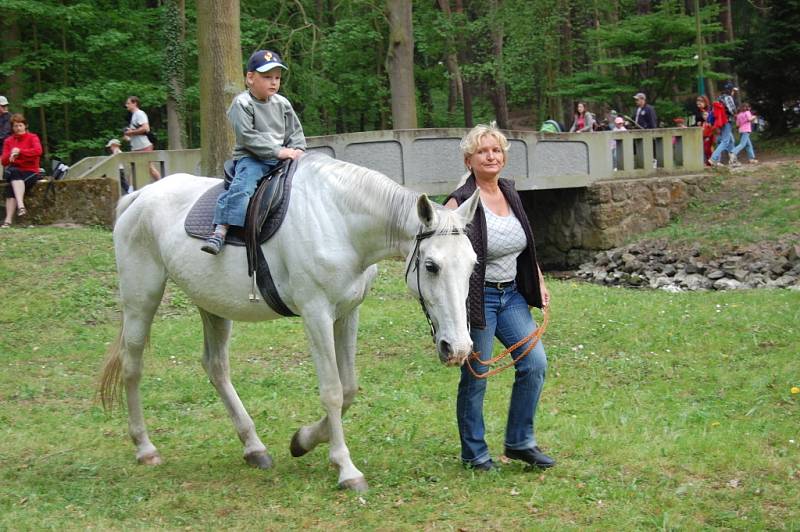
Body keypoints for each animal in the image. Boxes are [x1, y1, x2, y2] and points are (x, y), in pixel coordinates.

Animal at [97, 152, 478, 492]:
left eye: (473, 264)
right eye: (431, 266)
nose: (458, 348)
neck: (340, 222)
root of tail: (138, 197)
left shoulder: (347, 313)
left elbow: (349, 388)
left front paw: (304, 440)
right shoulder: (316, 314)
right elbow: (333, 391)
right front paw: (346, 468)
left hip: (212, 306)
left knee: (216, 367)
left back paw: (253, 447)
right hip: (141, 298)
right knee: (132, 366)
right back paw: (145, 447)